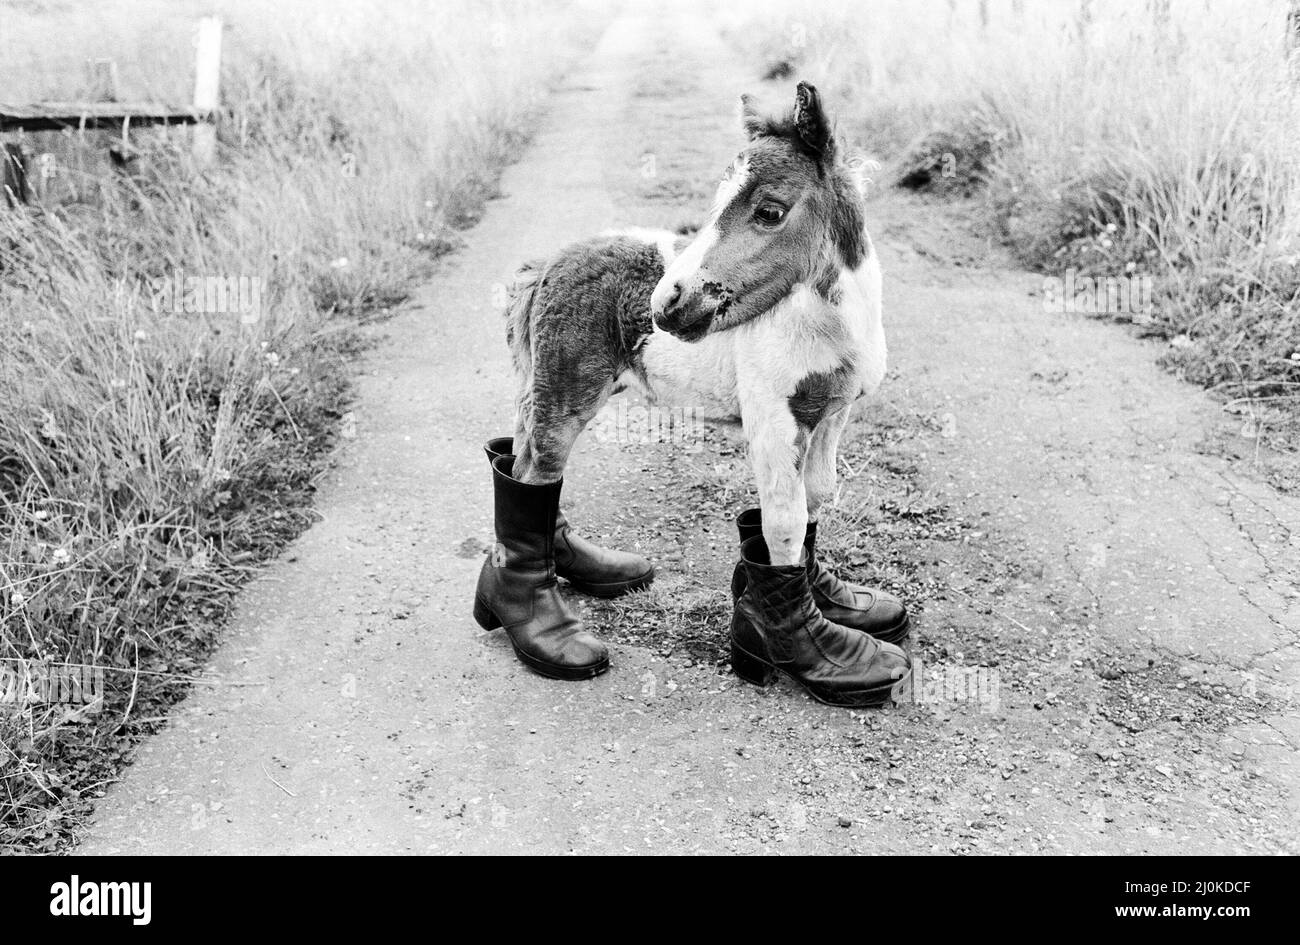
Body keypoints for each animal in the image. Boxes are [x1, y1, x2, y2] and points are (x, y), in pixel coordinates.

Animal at [473, 85, 909, 707]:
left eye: (770, 211)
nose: (667, 304)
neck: (824, 326)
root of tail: (550, 261)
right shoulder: (773, 421)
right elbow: (785, 521)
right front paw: (810, 650)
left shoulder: (833, 414)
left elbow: (816, 499)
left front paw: (831, 601)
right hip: (566, 387)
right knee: (537, 468)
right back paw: (541, 629)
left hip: (538, 380)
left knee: (522, 459)